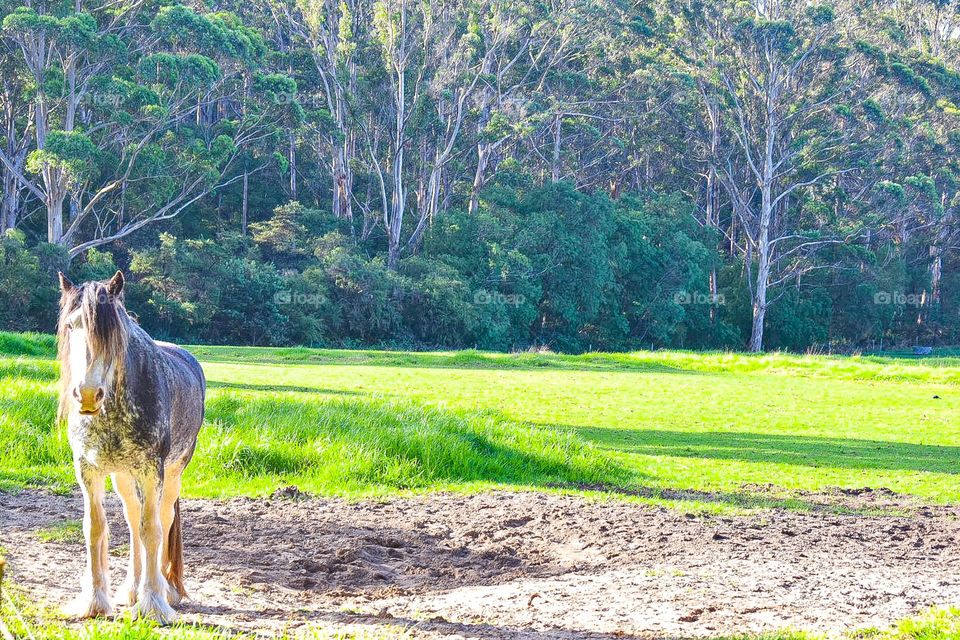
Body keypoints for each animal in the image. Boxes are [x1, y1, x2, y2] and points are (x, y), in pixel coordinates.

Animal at [56, 270, 205, 624]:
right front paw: (95, 602)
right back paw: (130, 589)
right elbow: (95, 529)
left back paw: (165, 590)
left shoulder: (152, 471)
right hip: (123, 476)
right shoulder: (88, 470)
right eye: (71, 326)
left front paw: (153, 604)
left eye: (113, 332)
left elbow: (152, 530)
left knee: (162, 518)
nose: (87, 394)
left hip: (172, 474)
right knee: (132, 517)